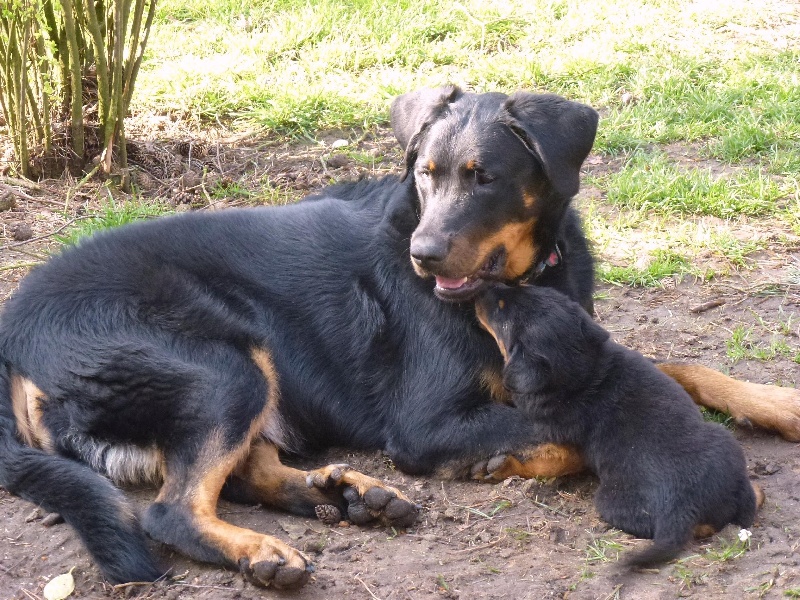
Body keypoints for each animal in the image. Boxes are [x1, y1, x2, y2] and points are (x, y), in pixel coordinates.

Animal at [476, 286, 764, 568]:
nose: (481, 290)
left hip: (609, 502)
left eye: (501, 310)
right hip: (723, 443)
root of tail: (680, 510)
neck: (583, 370)